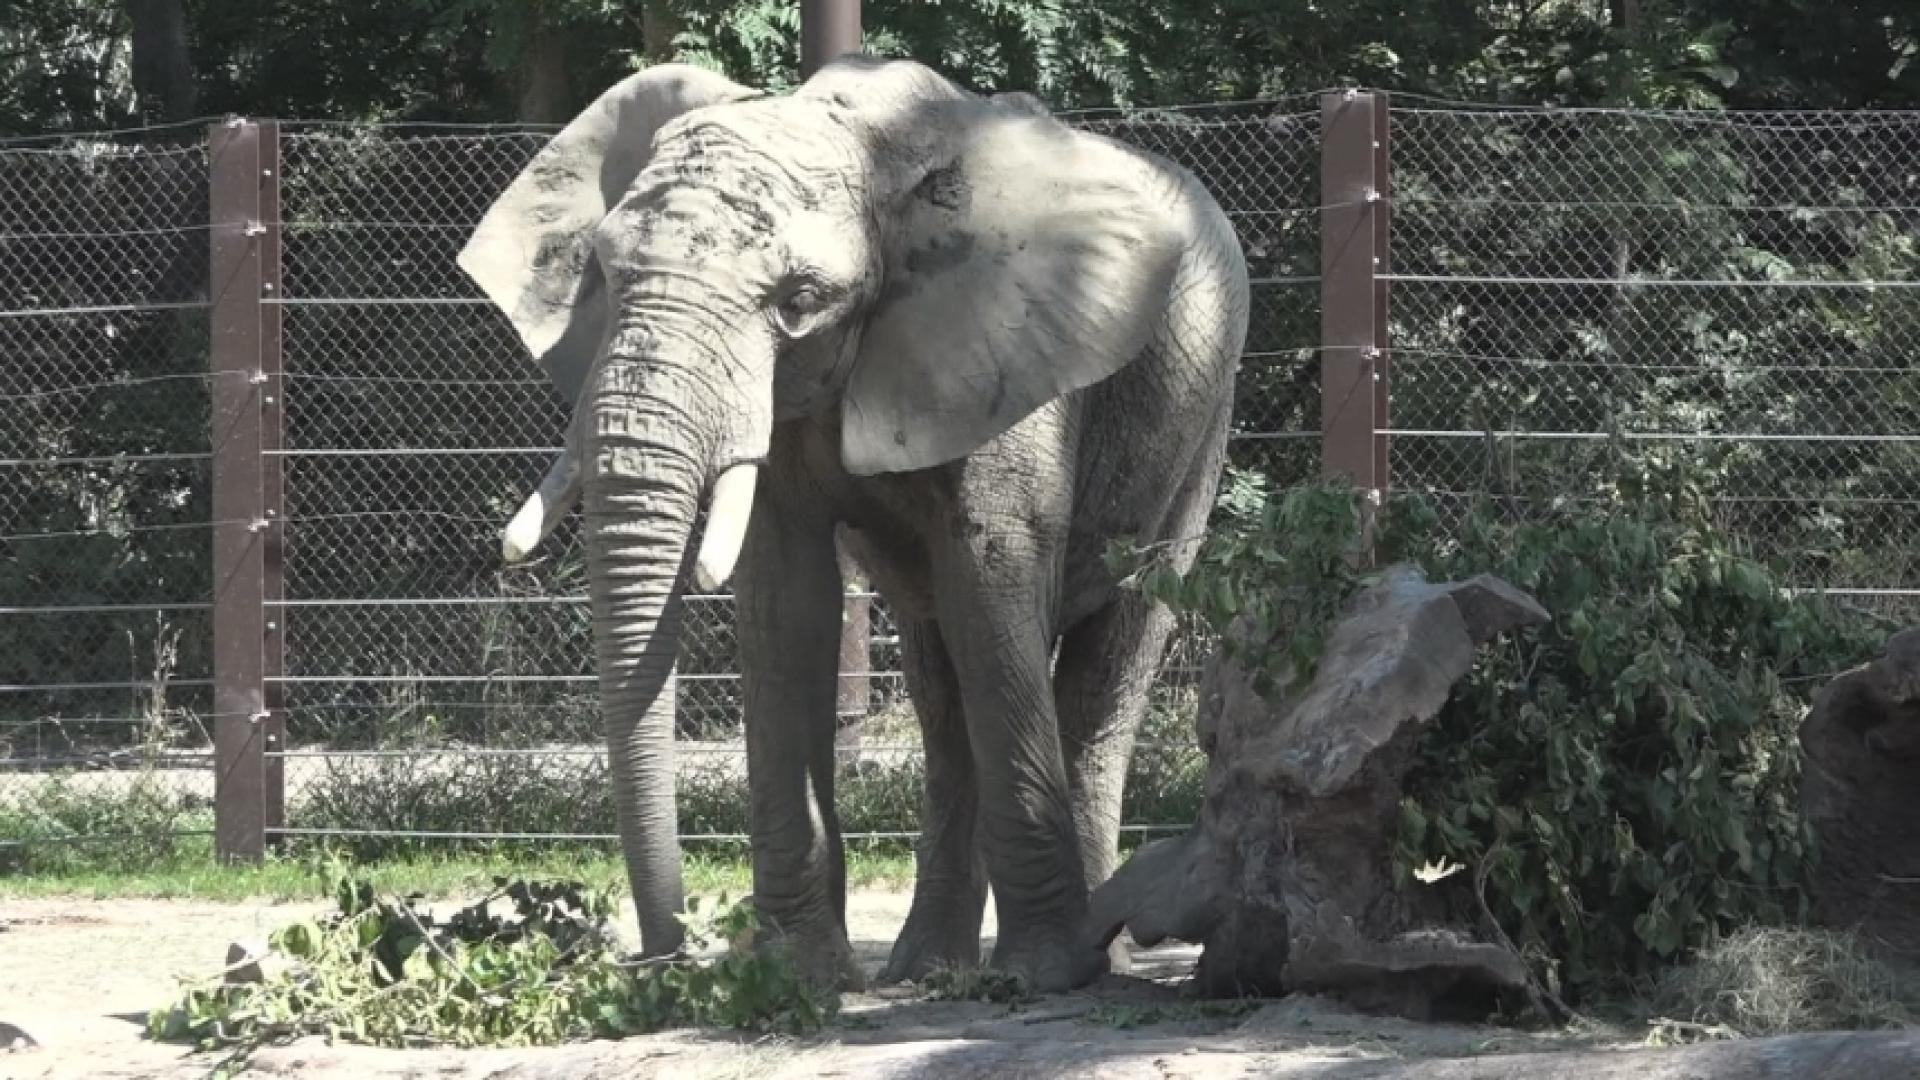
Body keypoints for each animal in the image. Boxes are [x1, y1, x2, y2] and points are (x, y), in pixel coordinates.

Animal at [456, 54, 1251, 991]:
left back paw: (1095, 954)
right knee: (943, 687)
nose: (662, 959)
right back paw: (925, 970)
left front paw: (1038, 977)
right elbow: (786, 603)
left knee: (1104, 657)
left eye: (798, 300)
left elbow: (993, 581)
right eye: (607, 275)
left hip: (1203, 413)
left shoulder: (1014, 351)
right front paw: (796, 977)